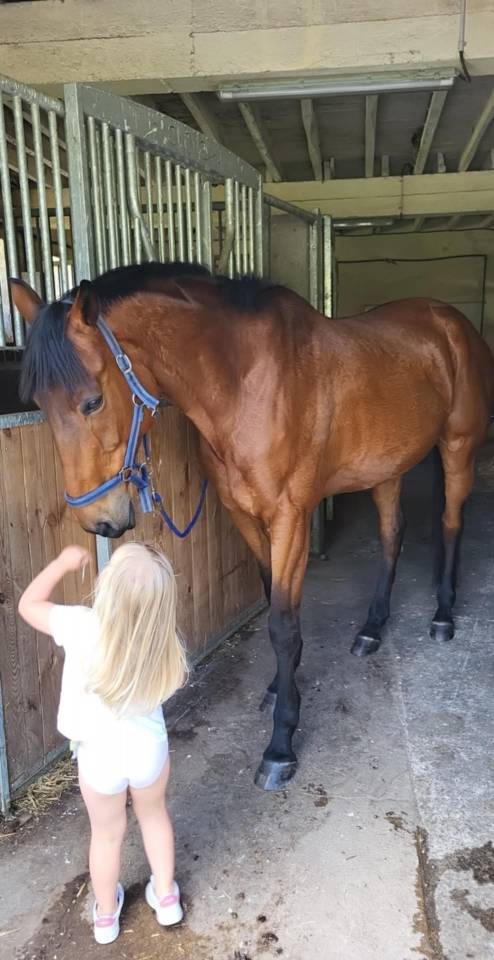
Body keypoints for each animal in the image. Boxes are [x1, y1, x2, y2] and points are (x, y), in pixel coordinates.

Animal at [11, 262, 494, 792]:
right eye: (36, 402)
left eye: (93, 402)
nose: (99, 520)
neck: (245, 384)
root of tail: (452, 322)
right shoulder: (243, 515)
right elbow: (273, 604)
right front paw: (280, 689)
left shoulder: (290, 517)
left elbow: (282, 623)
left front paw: (281, 744)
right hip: (387, 468)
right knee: (392, 536)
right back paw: (371, 629)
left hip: (458, 448)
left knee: (450, 524)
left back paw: (443, 616)